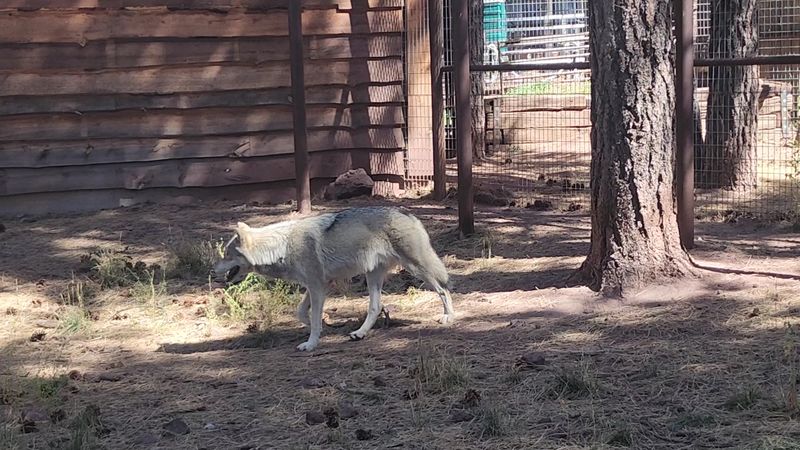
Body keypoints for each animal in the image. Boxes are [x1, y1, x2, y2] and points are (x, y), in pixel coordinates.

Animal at [211, 206, 455, 351]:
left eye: (227, 255)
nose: (212, 270)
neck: (282, 247)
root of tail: (408, 215)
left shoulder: (317, 287)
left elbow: (313, 317)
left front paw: (311, 343)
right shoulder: (317, 286)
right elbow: (301, 312)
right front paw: (321, 327)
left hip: (417, 269)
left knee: (444, 289)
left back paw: (448, 317)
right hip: (372, 276)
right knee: (375, 307)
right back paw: (359, 333)